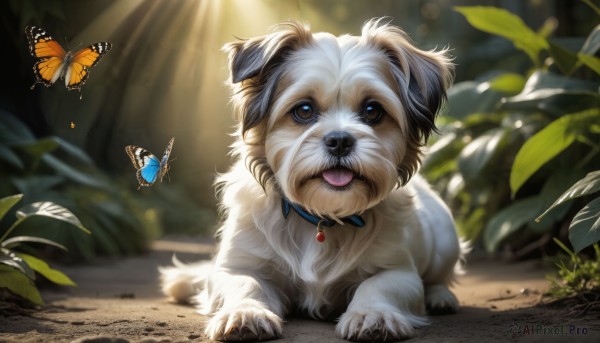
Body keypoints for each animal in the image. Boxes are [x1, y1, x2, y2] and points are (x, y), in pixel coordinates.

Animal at [158, 19, 460, 343]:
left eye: (373, 111)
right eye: (304, 110)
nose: (340, 140)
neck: (323, 215)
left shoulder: (398, 270)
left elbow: (378, 285)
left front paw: (372, 314)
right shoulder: (237, 266)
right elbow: (244, 283)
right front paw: (246, 313)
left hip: (446, 239)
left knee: (438, 277)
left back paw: (441, 297)